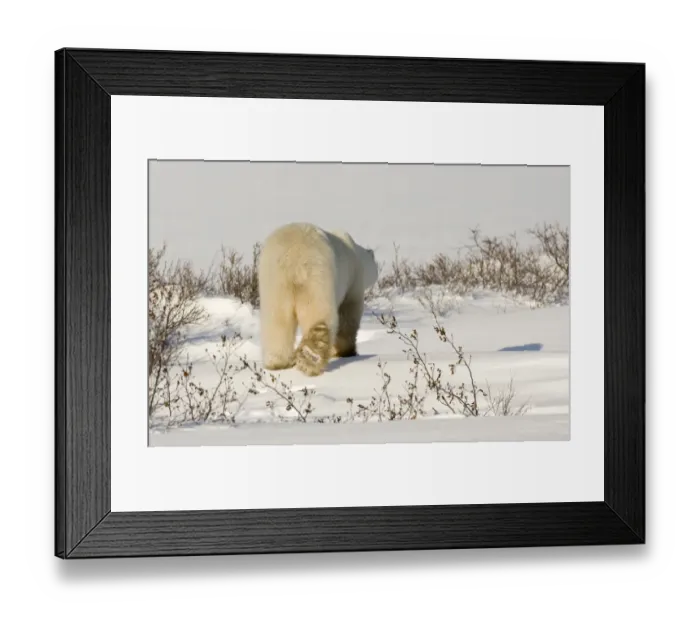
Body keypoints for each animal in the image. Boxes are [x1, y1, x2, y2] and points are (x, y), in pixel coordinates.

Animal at [257, 222, 379, 377]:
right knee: (318, 316)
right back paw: (310, 359)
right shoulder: (353, 283)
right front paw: (346, 352)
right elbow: (348, 316)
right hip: (317, 276)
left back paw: (278, 363)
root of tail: (293, 258)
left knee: (276, 321)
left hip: (274, 281)